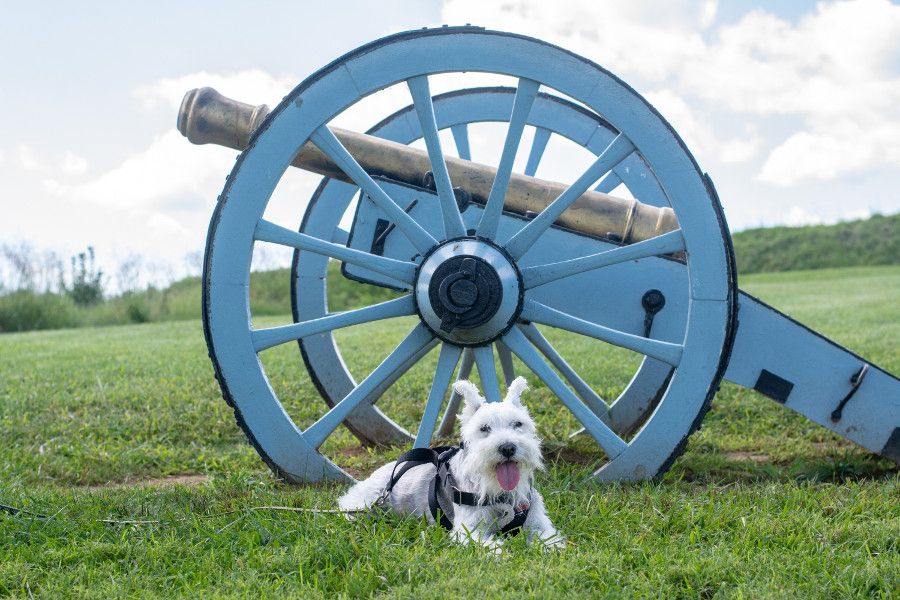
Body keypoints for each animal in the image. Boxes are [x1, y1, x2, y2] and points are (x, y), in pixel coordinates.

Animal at [338, 378, 564, 552]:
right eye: (484, 428)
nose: (507, 448)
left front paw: (551, 549)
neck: (500, 493)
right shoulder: (469, 531)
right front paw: (502, 554)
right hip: (363, 504)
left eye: (518, 424)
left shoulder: (538, 523)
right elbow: (489, 546)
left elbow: (550, 539)